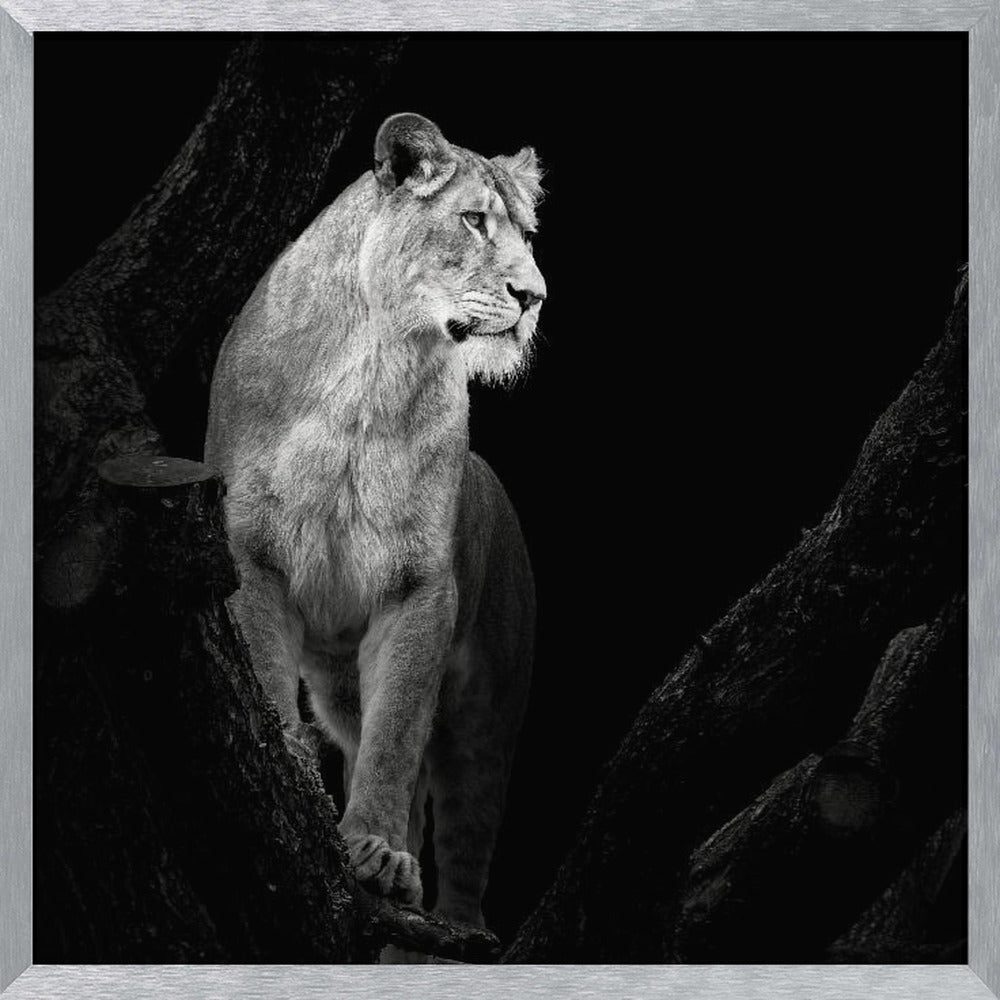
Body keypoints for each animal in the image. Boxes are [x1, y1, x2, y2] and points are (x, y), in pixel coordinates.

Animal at [204, 112, 544, 932]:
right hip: (339, 686)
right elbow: (269, 680)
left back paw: (453, 928)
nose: (535, 296)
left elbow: (396, 739)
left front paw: (381, 855)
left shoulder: (419, 589)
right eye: (473, 221)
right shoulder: (251, 554)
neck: (375, 369)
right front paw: (294, 777)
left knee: (464, 839)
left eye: (528, 232)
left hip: (492, 711)